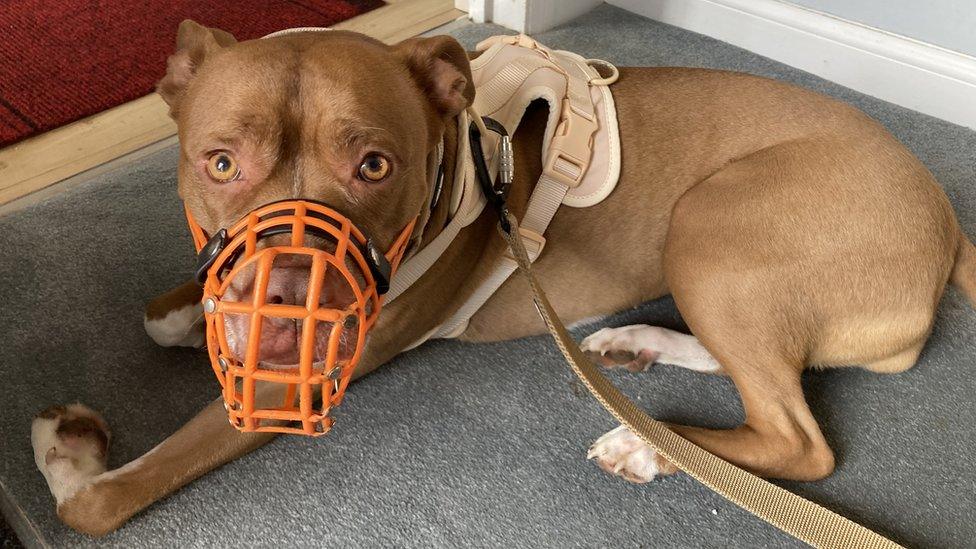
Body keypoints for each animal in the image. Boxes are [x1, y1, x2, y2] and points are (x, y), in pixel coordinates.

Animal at [30, 21, 976, 536]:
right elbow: (162, 312)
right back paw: (638, 345)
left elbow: (110, 494)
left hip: (715, 225)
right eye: (219, 162)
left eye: (374, 164)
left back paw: (648, 444)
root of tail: (945, 215)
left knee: (797, 438)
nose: (285, 316)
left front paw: (72, 462)